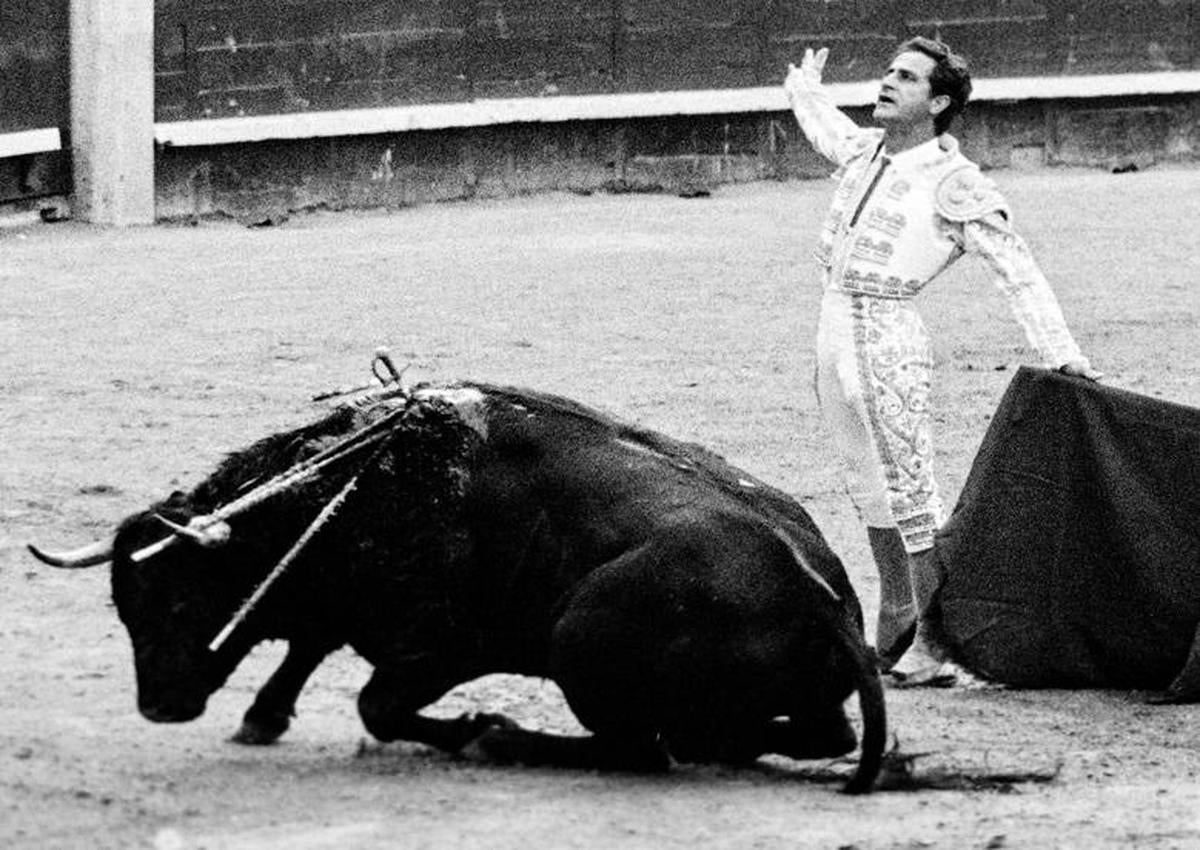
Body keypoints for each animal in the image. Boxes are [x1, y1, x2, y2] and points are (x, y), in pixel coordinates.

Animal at [28, 381, 888, 792]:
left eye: (177, 601)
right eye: (122, 610)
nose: (158, 706)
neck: (350, 485)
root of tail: (823, 598)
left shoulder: (439, 650)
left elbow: (374, 704)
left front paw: (473, 727)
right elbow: (308, 642)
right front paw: (261, 718)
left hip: (577, 648)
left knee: (647, 750)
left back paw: (503, 738)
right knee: (814, 735)